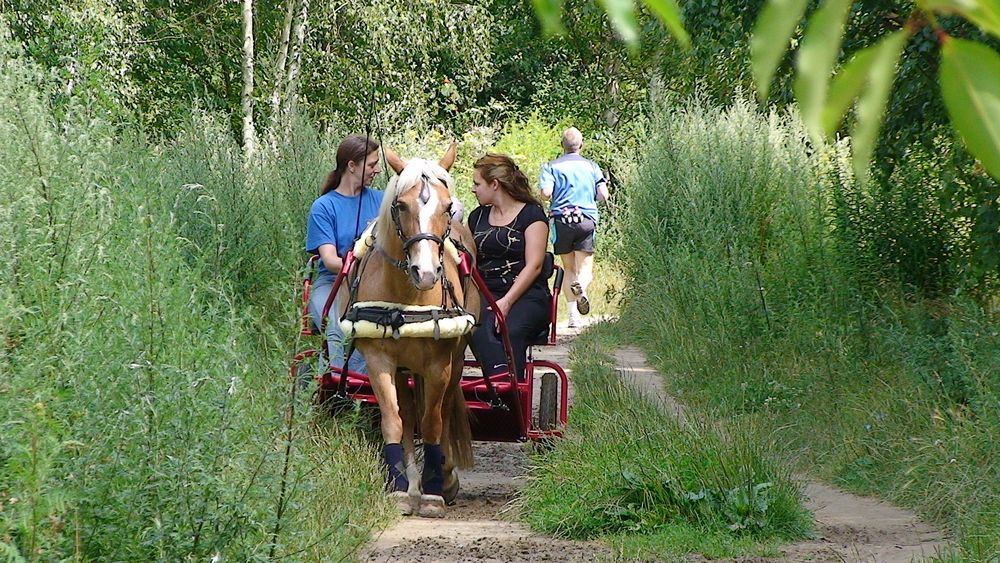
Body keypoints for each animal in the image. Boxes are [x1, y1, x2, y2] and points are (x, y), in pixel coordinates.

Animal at [340, 143, 480, 516]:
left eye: (447, 207)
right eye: (401, 205)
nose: (426, 272)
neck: (407, 297)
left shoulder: (439, 364)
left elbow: (432, 422)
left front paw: (433, 491)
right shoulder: (379, 361)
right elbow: (395, 420)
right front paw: (401, 487)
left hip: (455, 360)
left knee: (443, 410)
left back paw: (443, 475)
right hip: (403, 367)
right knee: (406, 410)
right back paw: (414, 481)